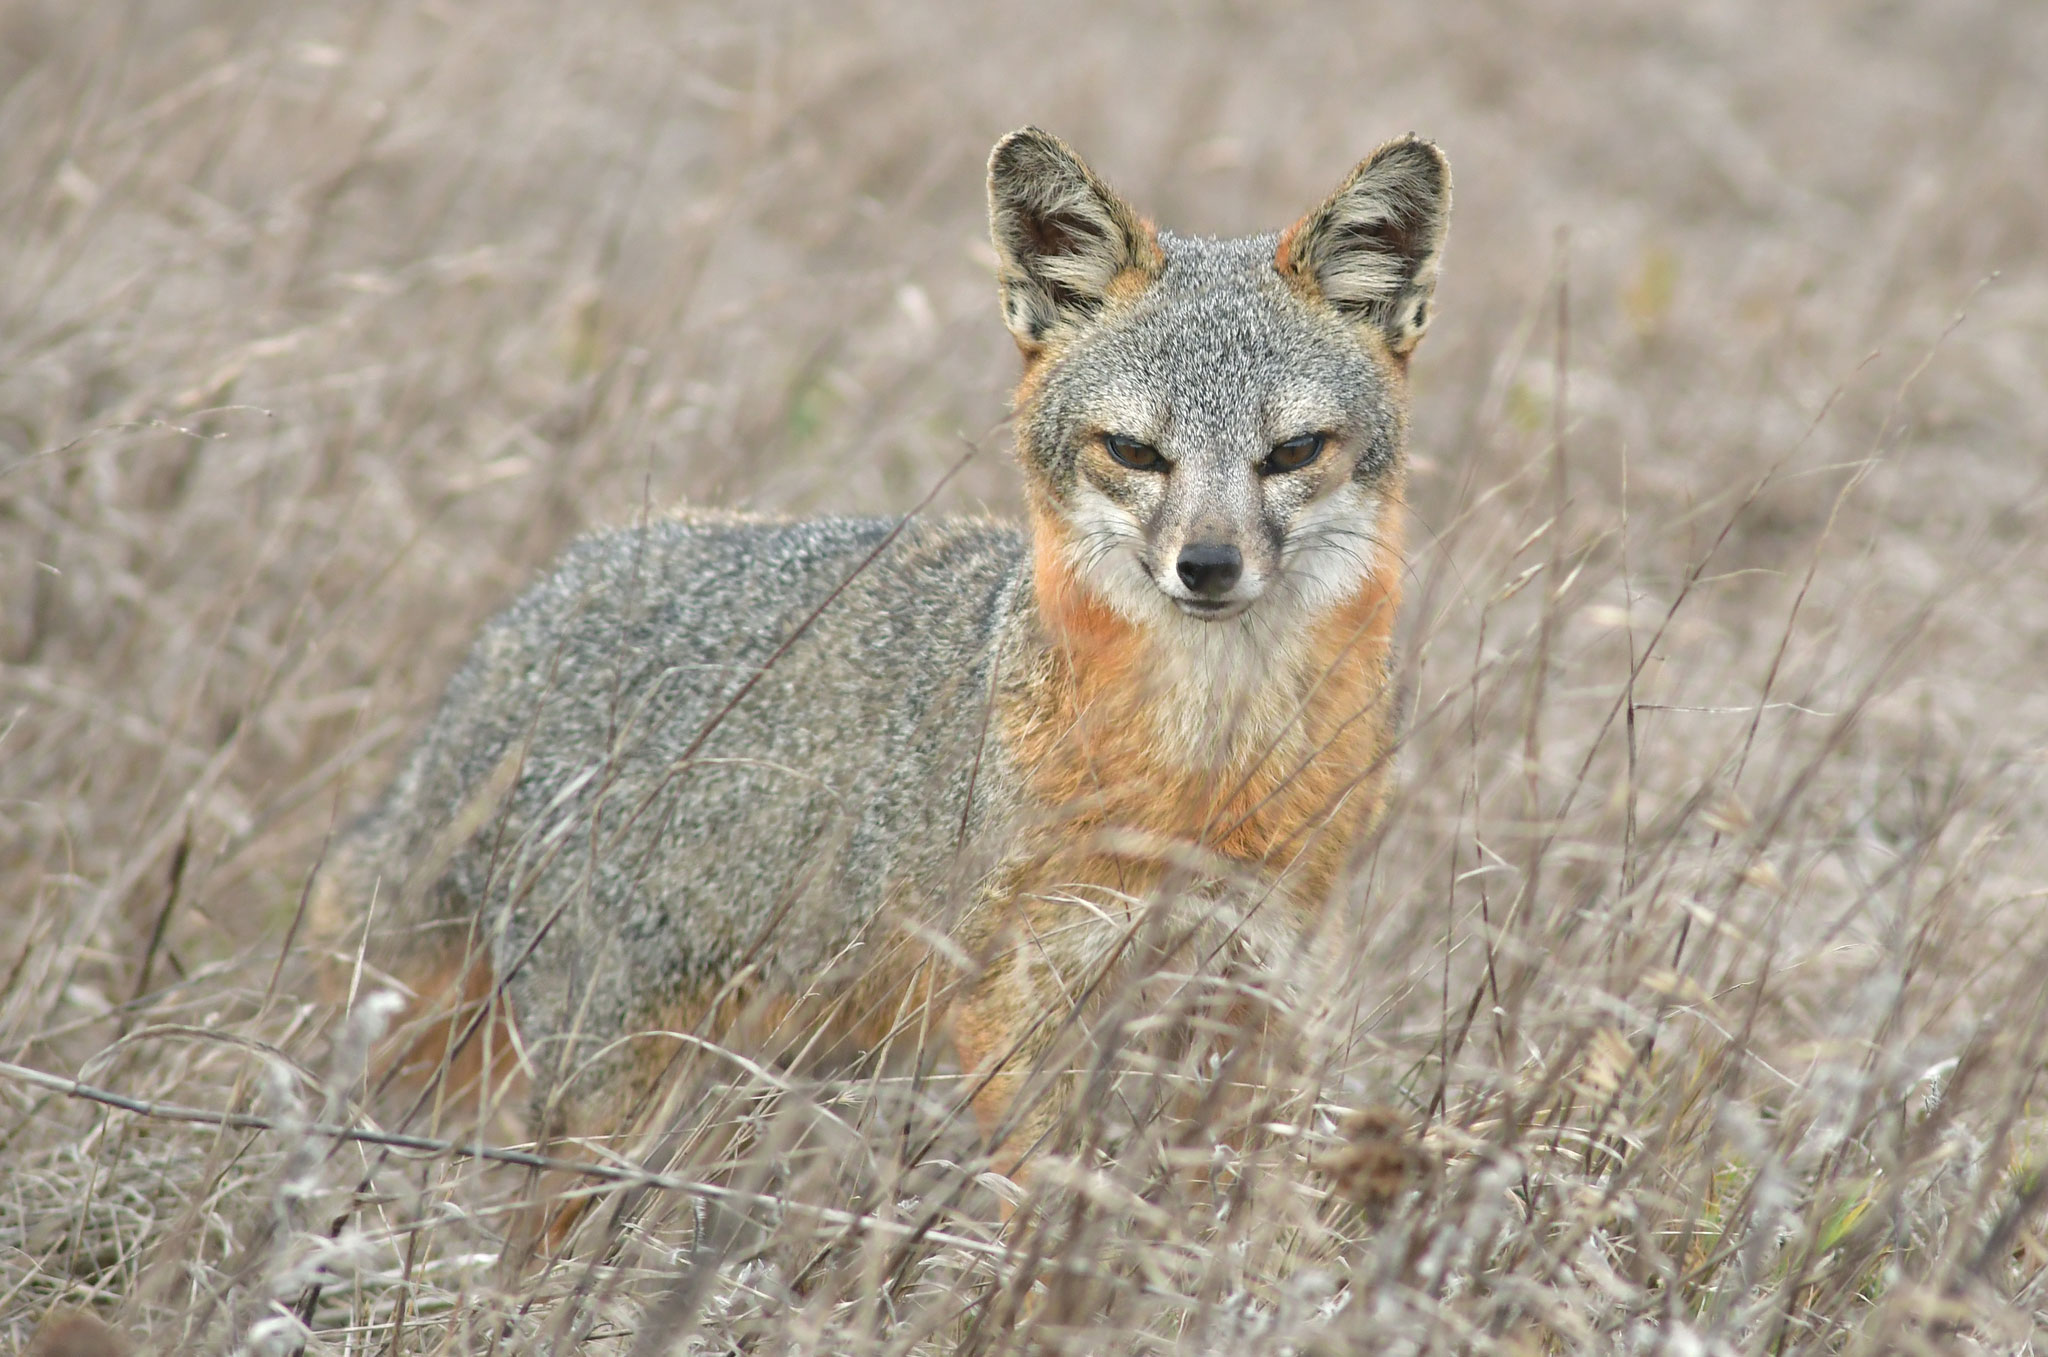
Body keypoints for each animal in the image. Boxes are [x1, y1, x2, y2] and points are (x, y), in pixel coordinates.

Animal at [310, 126, 1451, 1213]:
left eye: (1293, 451)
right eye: (1133, 452)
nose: (1206, 566)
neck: (1206, 774)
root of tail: (522, 621)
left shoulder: (1261, 986)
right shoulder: (1015, 999)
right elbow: (1041, 1210)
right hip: (605, 1097)